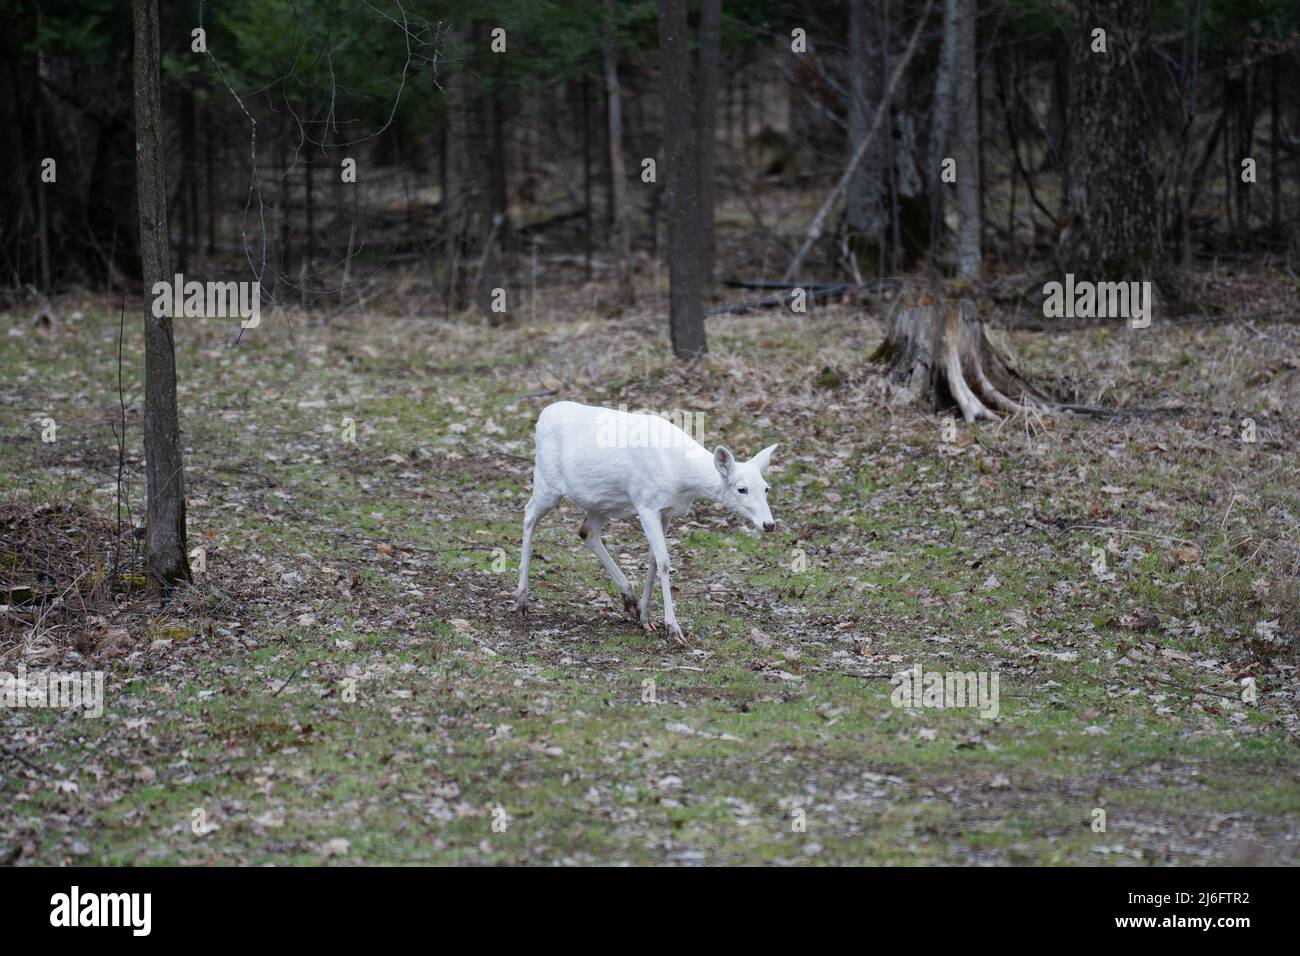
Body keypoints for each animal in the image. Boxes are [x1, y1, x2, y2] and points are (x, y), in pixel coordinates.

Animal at [514, 401, 779, 643]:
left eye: (766, 488)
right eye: (741, 489)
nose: (769, 524)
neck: (682, 478)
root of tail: (543, 416)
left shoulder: (666, 510)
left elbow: (652, 558)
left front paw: (645, 617)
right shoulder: (646, 504)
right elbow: (664, 561)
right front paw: (673, 628)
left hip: (602, 501)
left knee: (586, 531)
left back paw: (629, 599)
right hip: (547, 480)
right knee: (528, 515)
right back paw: (521, 600)